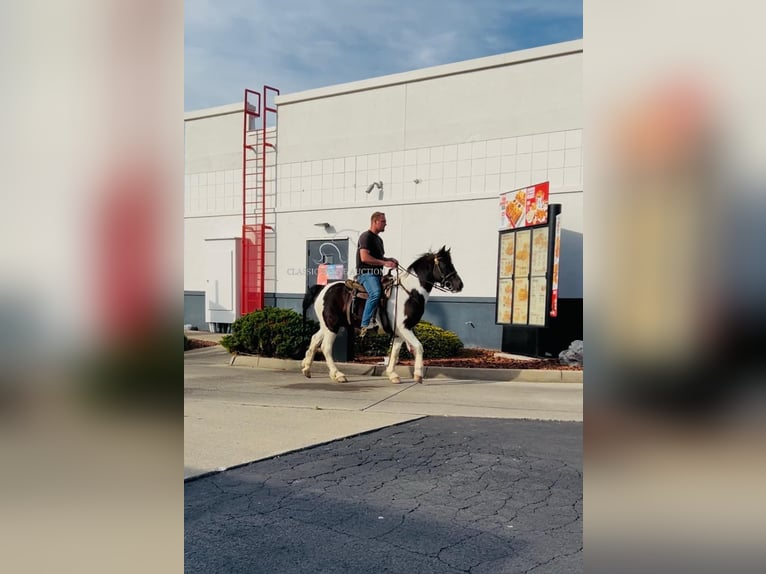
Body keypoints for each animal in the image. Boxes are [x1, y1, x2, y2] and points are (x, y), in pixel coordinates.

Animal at [304, 245, 464, 384]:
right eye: (445, 264)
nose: (459, 285)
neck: (410, 293)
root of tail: (323, 288)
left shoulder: (400, 331)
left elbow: (395, 352)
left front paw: (393, 375)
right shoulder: (405, 328)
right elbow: (419, 347)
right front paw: (418, 375)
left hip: (327, 325)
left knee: (314, 339)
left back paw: (306, 369)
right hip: (332, 325)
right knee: (326, 347)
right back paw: (338, 375)